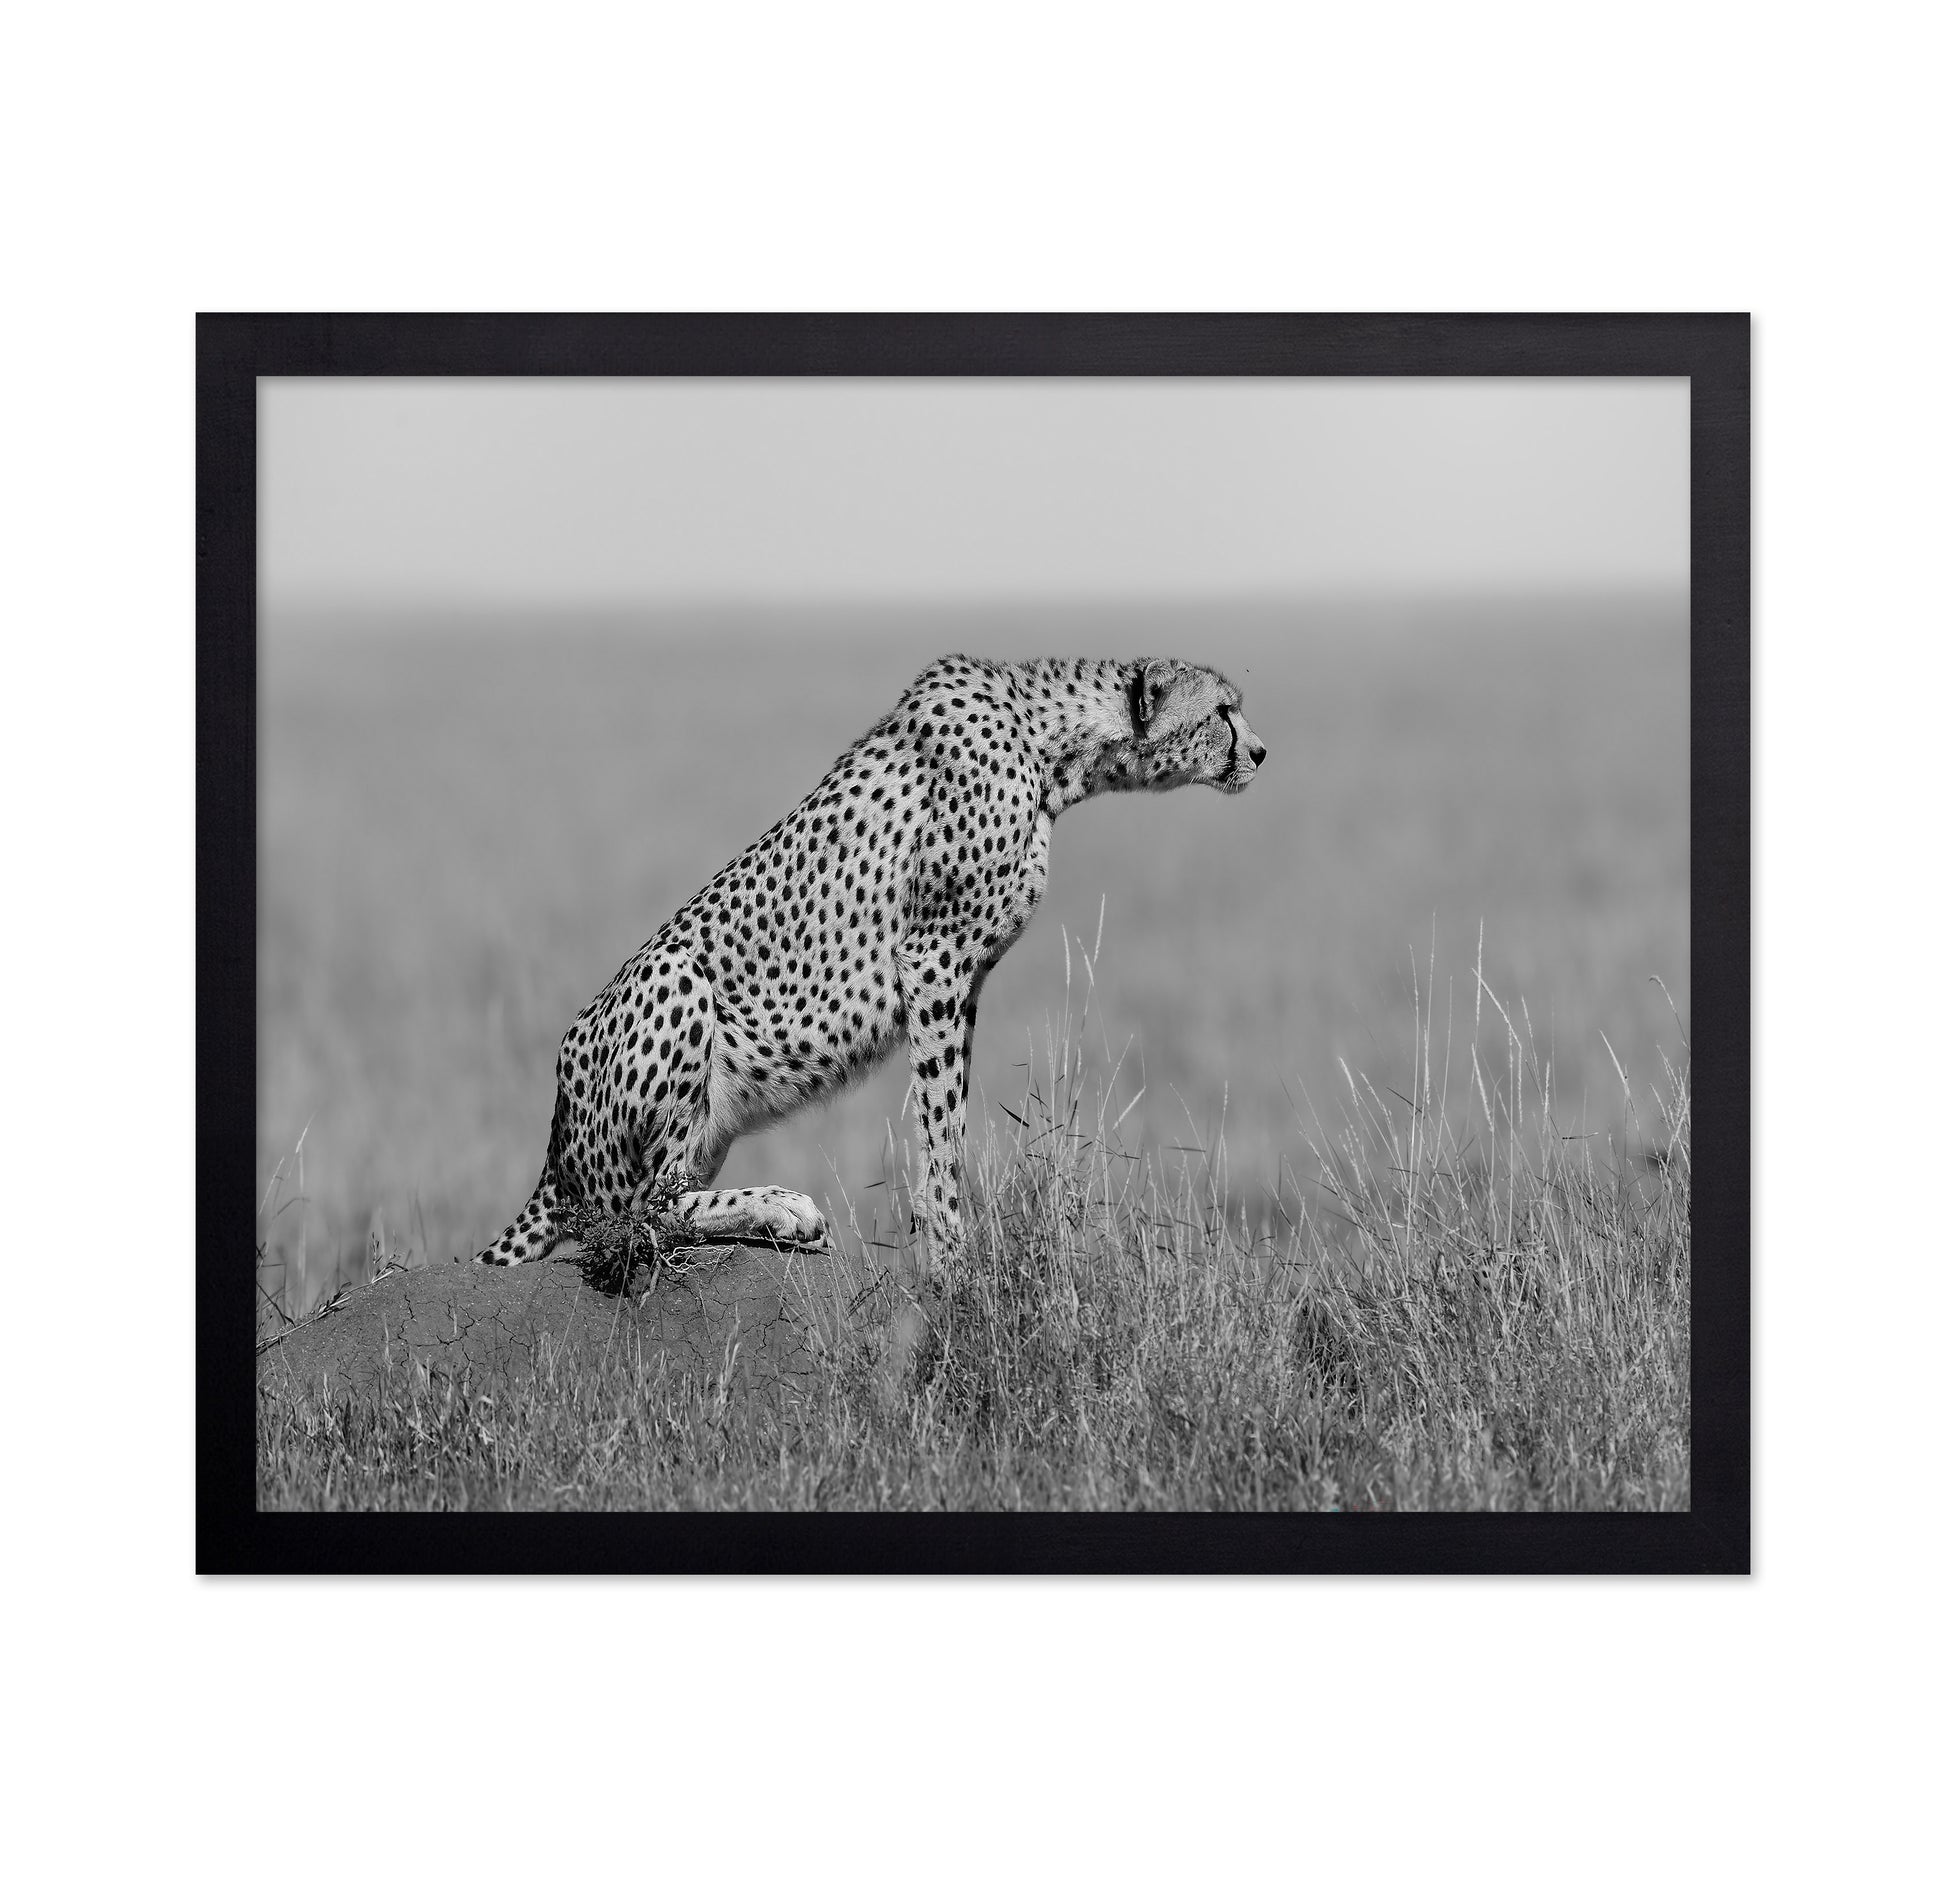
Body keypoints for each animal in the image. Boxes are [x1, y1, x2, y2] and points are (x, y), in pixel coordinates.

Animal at [474, 654, 1267, 1273]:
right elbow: (941, 1123)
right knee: (632, 1217)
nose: (1261, 752)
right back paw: (784, 1206)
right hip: (676, 977)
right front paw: (950, 1253)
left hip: (704, 1125)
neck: (1051, 746)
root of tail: (555, 1135)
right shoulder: (935, 958)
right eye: (1222, 710)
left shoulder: (963, 979)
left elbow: (950, 1114)